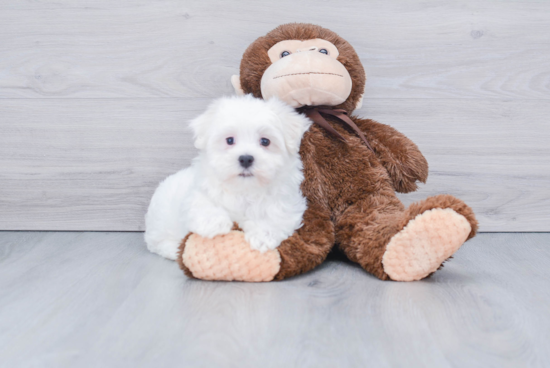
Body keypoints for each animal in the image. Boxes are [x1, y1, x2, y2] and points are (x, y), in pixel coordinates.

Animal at [144, 95, 312, 262]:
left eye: (265, 141)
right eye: (229, 140)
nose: (245, 159)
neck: (245, 189)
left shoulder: (286, 201)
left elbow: (276, 215)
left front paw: (262, 236)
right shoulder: (198, 191)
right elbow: (202, 203)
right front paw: (214, 223)